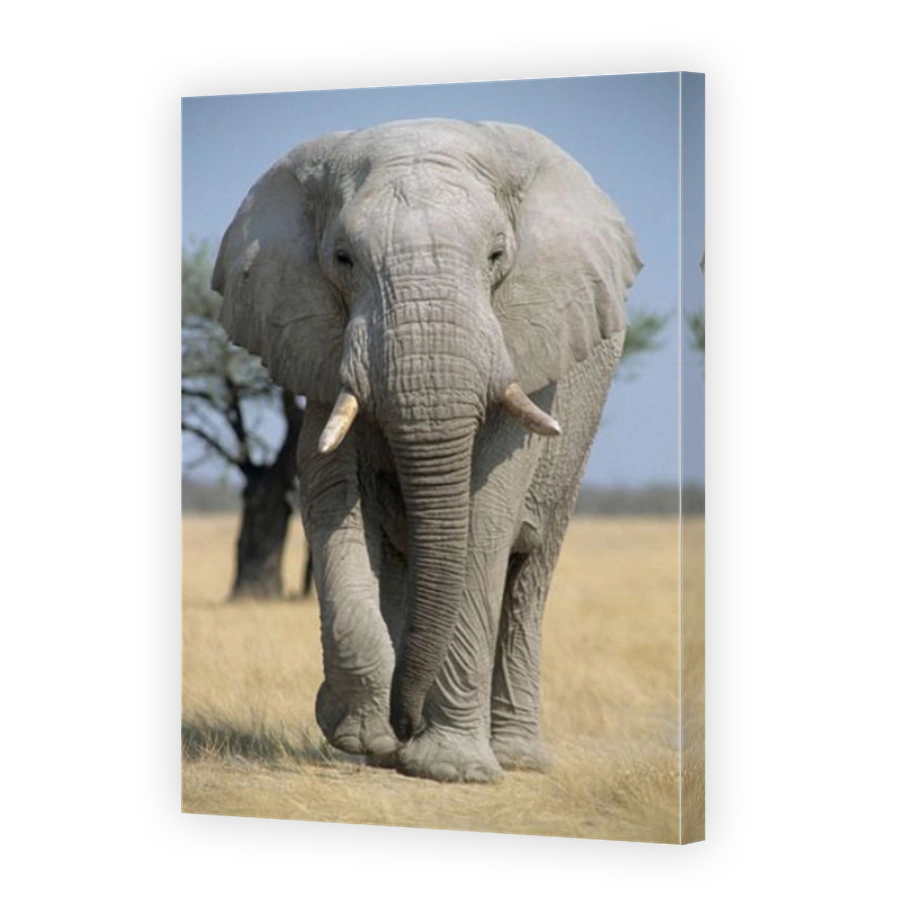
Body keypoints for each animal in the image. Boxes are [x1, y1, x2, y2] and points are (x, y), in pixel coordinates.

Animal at [211, 119, 641, 782]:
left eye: (496, 256)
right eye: (343, 260)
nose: (404, 722)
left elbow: (485, 515)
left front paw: (451, 769)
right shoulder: (318, 347)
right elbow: (332, 494)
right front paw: (360, 736)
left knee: (530, 569)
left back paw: (516, 758)